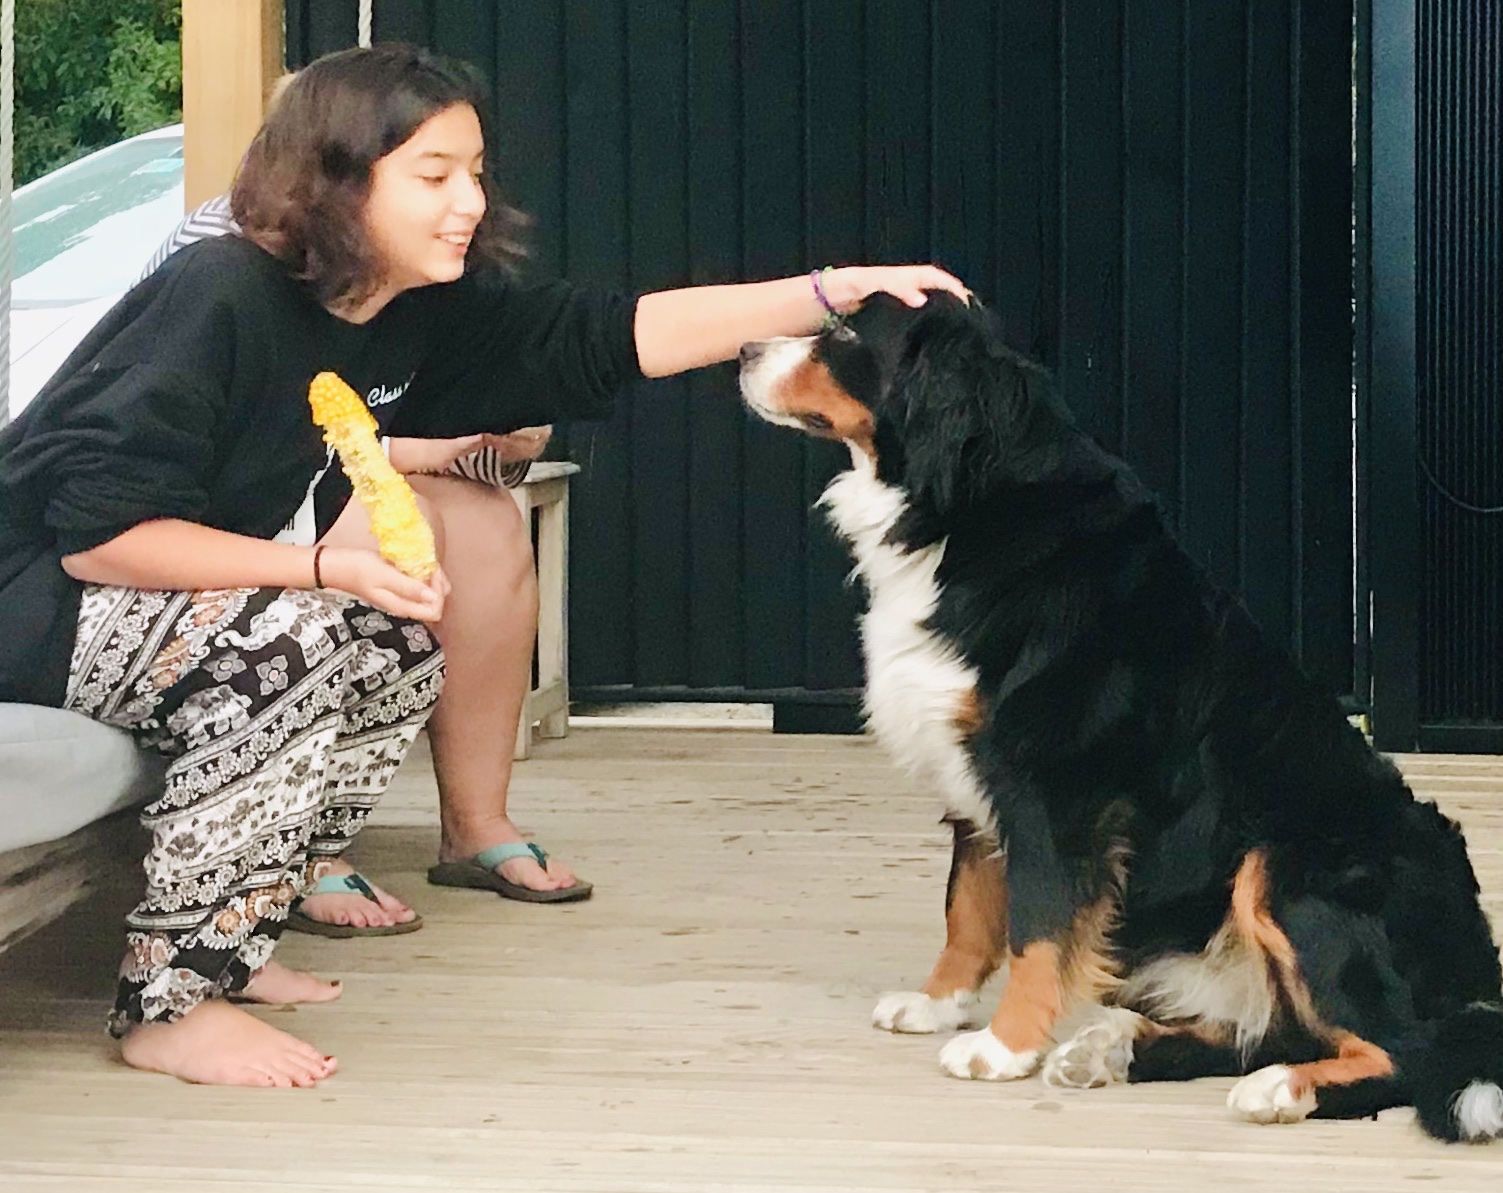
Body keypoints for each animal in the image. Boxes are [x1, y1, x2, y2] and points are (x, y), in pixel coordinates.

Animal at [737, 291, 1503, 1141]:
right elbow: (966, 910)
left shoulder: (1050, 786)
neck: (966, 504)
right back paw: (1114, 1049)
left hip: (1286, 866)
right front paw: (937, 1003)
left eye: (841, 331)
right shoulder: (973, 777)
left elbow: (1035, 924)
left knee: (1399, 1052)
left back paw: (1277, 1089)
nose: (741, 350)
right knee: (1281, 1028)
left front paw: (1001, 1046)